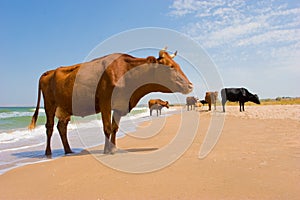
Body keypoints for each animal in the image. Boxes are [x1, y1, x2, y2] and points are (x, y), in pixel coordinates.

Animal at [28, 48, 192, 155]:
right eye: (170, 67)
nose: (190, 85)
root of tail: (50, 72)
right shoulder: (105, 102)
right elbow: (107, 127)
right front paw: (107, 151)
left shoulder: (120, 106)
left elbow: (114, 128)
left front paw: (113, 148)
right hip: (49, 105)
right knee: (49, 127)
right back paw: (48, 152)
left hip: (65, 108)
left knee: (61, 127)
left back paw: (68, 150)